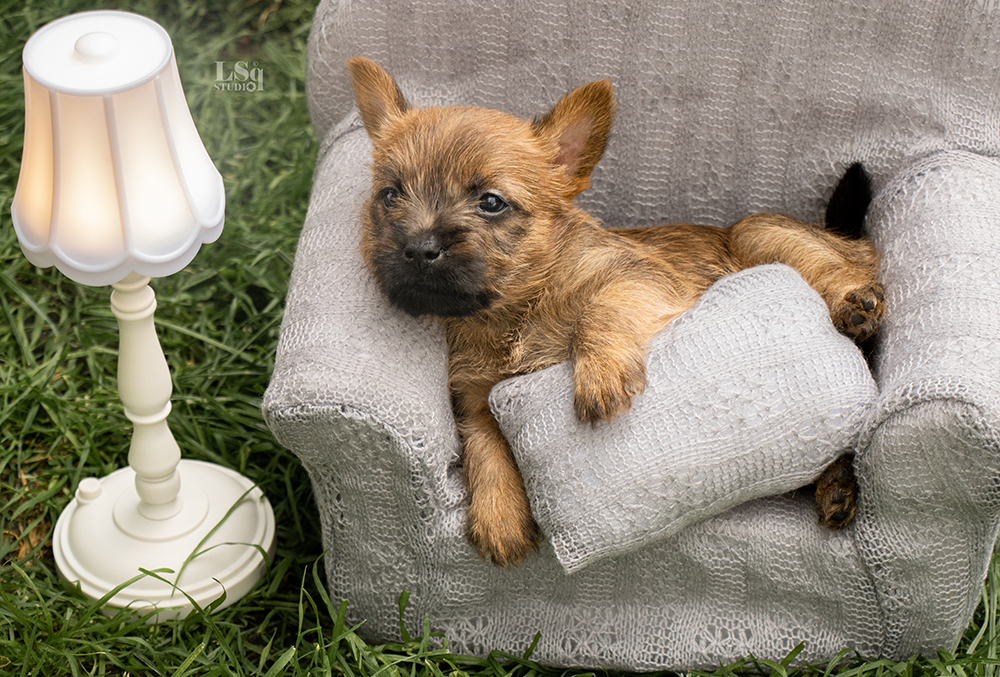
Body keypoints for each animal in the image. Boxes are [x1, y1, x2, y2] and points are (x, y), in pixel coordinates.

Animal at [344, 56, 884, 564]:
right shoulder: (474, 394)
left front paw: (599, 374)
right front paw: (499, 517)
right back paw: (836, 485)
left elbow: (599, 310)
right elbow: (483, 442)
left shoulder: (637, 278)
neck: (513, 311)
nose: (418, 249)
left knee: (842, 271)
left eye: (491, 202)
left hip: (760, 233)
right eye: (390, 195)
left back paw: (854, 306)